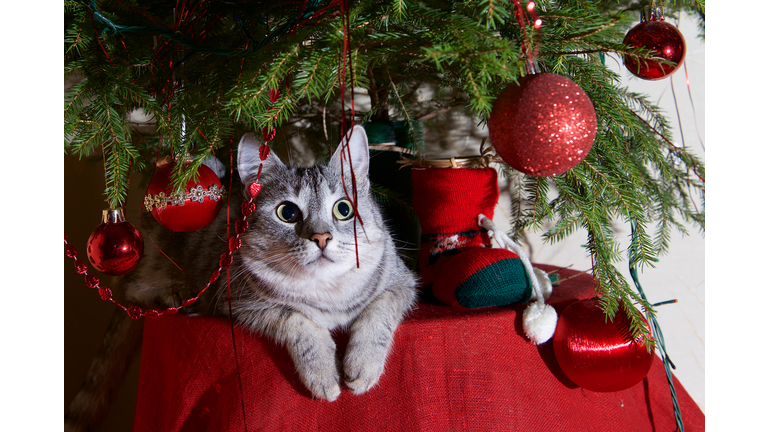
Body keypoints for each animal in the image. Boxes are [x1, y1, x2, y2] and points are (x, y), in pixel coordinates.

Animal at [67, 126, 420, 430]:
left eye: (344, 209)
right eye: (287, 213)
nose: (321, 238)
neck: (328, 292)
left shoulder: (402, 282)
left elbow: (378, 313)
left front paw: (363, 364)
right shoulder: (240, 301)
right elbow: (298, 321)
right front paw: (323, 373)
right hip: (151, 260)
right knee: (129, 292)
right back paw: (173, 297)